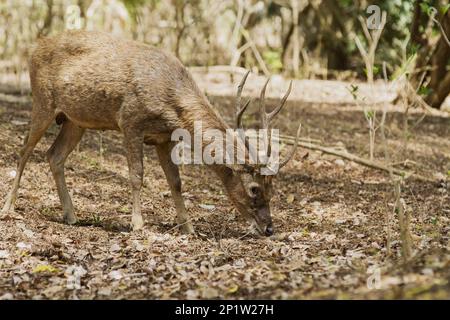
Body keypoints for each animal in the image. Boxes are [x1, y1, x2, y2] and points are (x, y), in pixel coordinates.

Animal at [3, 31, 300, 236]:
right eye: (254, 189)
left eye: (273, 190)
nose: (269, 229)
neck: (171, 102)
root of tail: (33, 48)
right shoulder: (130, 120)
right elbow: (137, 175)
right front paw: (137, 223)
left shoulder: (164, 138)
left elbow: (176, 182)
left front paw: (189, 227)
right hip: (42, 100)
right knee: (25, 149)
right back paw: (9, 208)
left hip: (76, 121)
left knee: (54, 155)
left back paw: (71, 214)